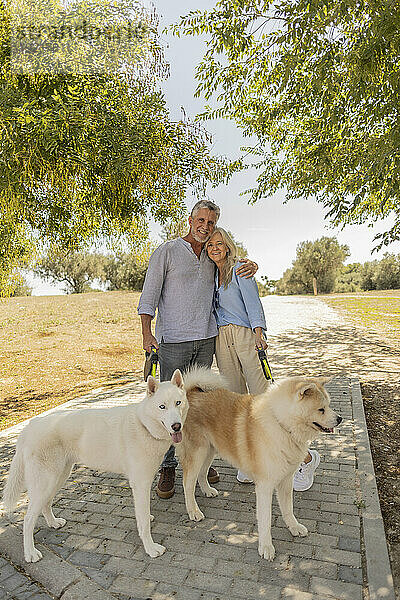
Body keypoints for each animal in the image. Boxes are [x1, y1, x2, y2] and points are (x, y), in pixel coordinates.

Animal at [1, 370, 200, 564]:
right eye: (162, 407)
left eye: (178, 403)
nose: (177, 426)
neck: (144, 425)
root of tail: (29, 426)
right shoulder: (141, 484)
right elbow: (144, 522)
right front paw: (151, 548)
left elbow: (142, 514)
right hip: (46, 482)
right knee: (28, 519)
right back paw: (30, 553)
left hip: (58, 477)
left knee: (45, 504)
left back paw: (53, 523)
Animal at [177, 368, 342, 560]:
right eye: (321, 409)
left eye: (328, 405)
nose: (340, 419)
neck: (282, 424)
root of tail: (189, 393)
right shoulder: (265, 487)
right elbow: (266, 520)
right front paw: (266, 546)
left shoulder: (286, 481)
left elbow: (288, 509)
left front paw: (294, 527)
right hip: (197, 453)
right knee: (188, 484)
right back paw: (193, 511)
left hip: (209, 450)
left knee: (202, 474)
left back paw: (208, 491)